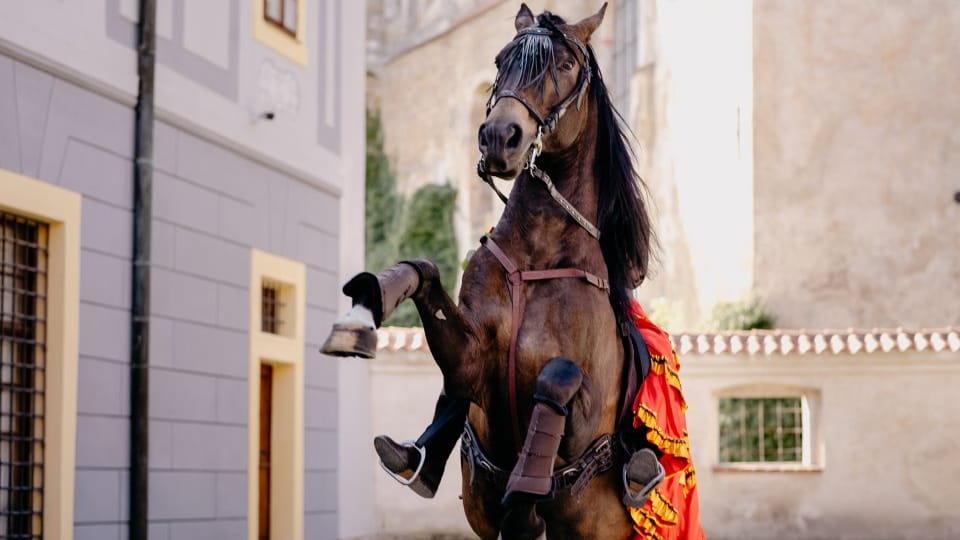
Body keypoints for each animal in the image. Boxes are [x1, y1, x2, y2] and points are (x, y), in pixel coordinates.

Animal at [323, 4, 658, 538]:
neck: (536, 258)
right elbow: (423, 270)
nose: (500, 137)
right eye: (501, 61)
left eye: (566, 65)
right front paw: (363, 310)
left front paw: (526, 479)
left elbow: (558, 375)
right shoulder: (470, 364)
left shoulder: (585, 414)